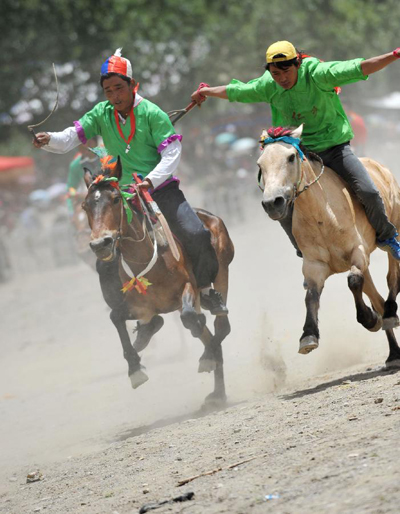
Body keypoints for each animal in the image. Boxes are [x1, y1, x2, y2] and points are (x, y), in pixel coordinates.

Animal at [83, 156, 236, 404]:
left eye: (115, 199)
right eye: (85, 205)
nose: (100, 244)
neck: (146, 259)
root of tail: (211, 217)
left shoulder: (187, 289)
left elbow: (189, 317)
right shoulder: (138, 306)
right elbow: (116, 317)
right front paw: (135, 368)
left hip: (222, 271)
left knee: (220, 327)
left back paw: (210, 363)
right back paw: (217, 391)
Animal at [258, 123, 400, 364]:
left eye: (291, 157)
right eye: (260, 164)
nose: (272, 203)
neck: (322, 215)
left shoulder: (358, 251)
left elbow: (353, 281)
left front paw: (369, 319)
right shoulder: (314, 266)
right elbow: (311, 296)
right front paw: (308, 335)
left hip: (394, 230)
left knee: (392, 276)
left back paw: (390, 312)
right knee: (376, 297)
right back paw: (393, 353)